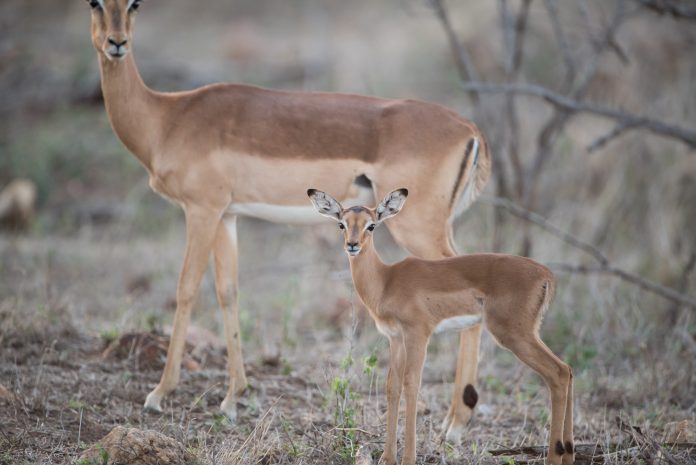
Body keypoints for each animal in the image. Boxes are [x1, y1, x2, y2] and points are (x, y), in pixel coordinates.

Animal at [84, 0, 491, 432]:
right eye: (95, 3)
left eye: (134, 4)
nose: (116, 43)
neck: (168, 118)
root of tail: (470, 130)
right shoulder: (227, 215)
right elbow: (228, 291)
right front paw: (233, 398)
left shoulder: (201, 209)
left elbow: (186, 289)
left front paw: (159, 394)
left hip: (416, 226)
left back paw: (456, 423)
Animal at [307, 188, 574, 465]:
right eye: (341, 223)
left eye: (371, 225)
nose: (352, 245)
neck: (386, 281)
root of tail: (546, 275)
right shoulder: (396, 338)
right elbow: (392, 386)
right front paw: (387, 458)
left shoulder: (418, 334)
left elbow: (411, 383)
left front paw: (408, 458)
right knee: (567, 370)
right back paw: (568, 452)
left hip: (513, 334)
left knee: (557, 373)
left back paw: (555, 455)